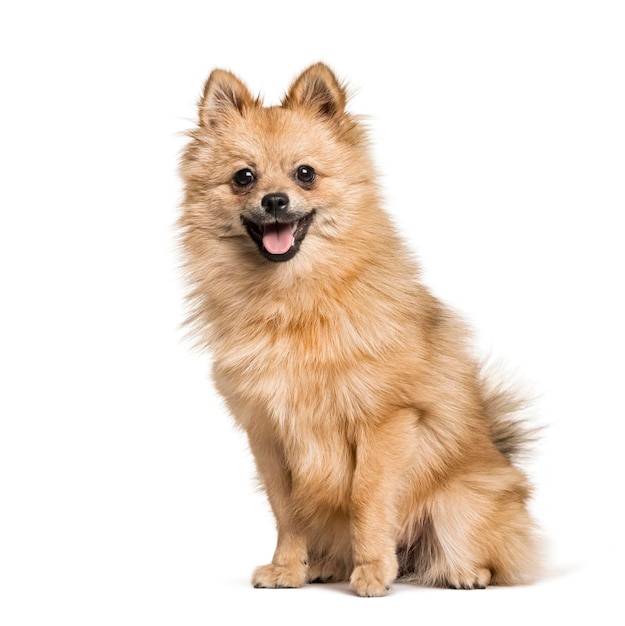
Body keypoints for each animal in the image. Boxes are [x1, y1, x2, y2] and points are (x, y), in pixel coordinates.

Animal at [178, 63, 540, 596]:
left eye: (305, 174)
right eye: (243, 177)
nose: (275, 199)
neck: (294, 300)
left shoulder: (382, 422)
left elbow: (367, 498)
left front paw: (372, 569)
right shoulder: (269, 434)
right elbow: (286, 510)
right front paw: (288, 568)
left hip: (461, 503)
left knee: (480, 550)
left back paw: (463, 572)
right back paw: (325, 564)